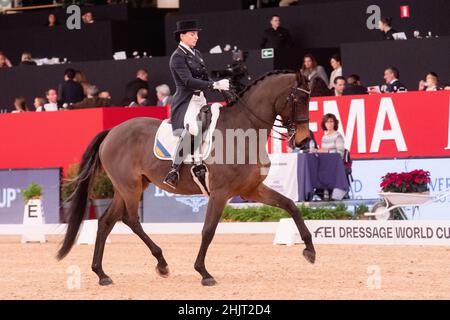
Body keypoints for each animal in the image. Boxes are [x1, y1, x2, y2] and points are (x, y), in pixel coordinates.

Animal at [56, 69, 316, 284]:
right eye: (298, 99)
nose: (303, 139)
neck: (244, 130)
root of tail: (112, 131)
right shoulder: (220, 193)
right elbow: (208, 230)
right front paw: (203, 272)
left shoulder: (251, 189)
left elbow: (291, 205)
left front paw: (310, 251)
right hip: (130, 187)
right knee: (131, 220)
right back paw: (161, 264)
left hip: (128, 187)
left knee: (106, 222)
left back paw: (102, 274)